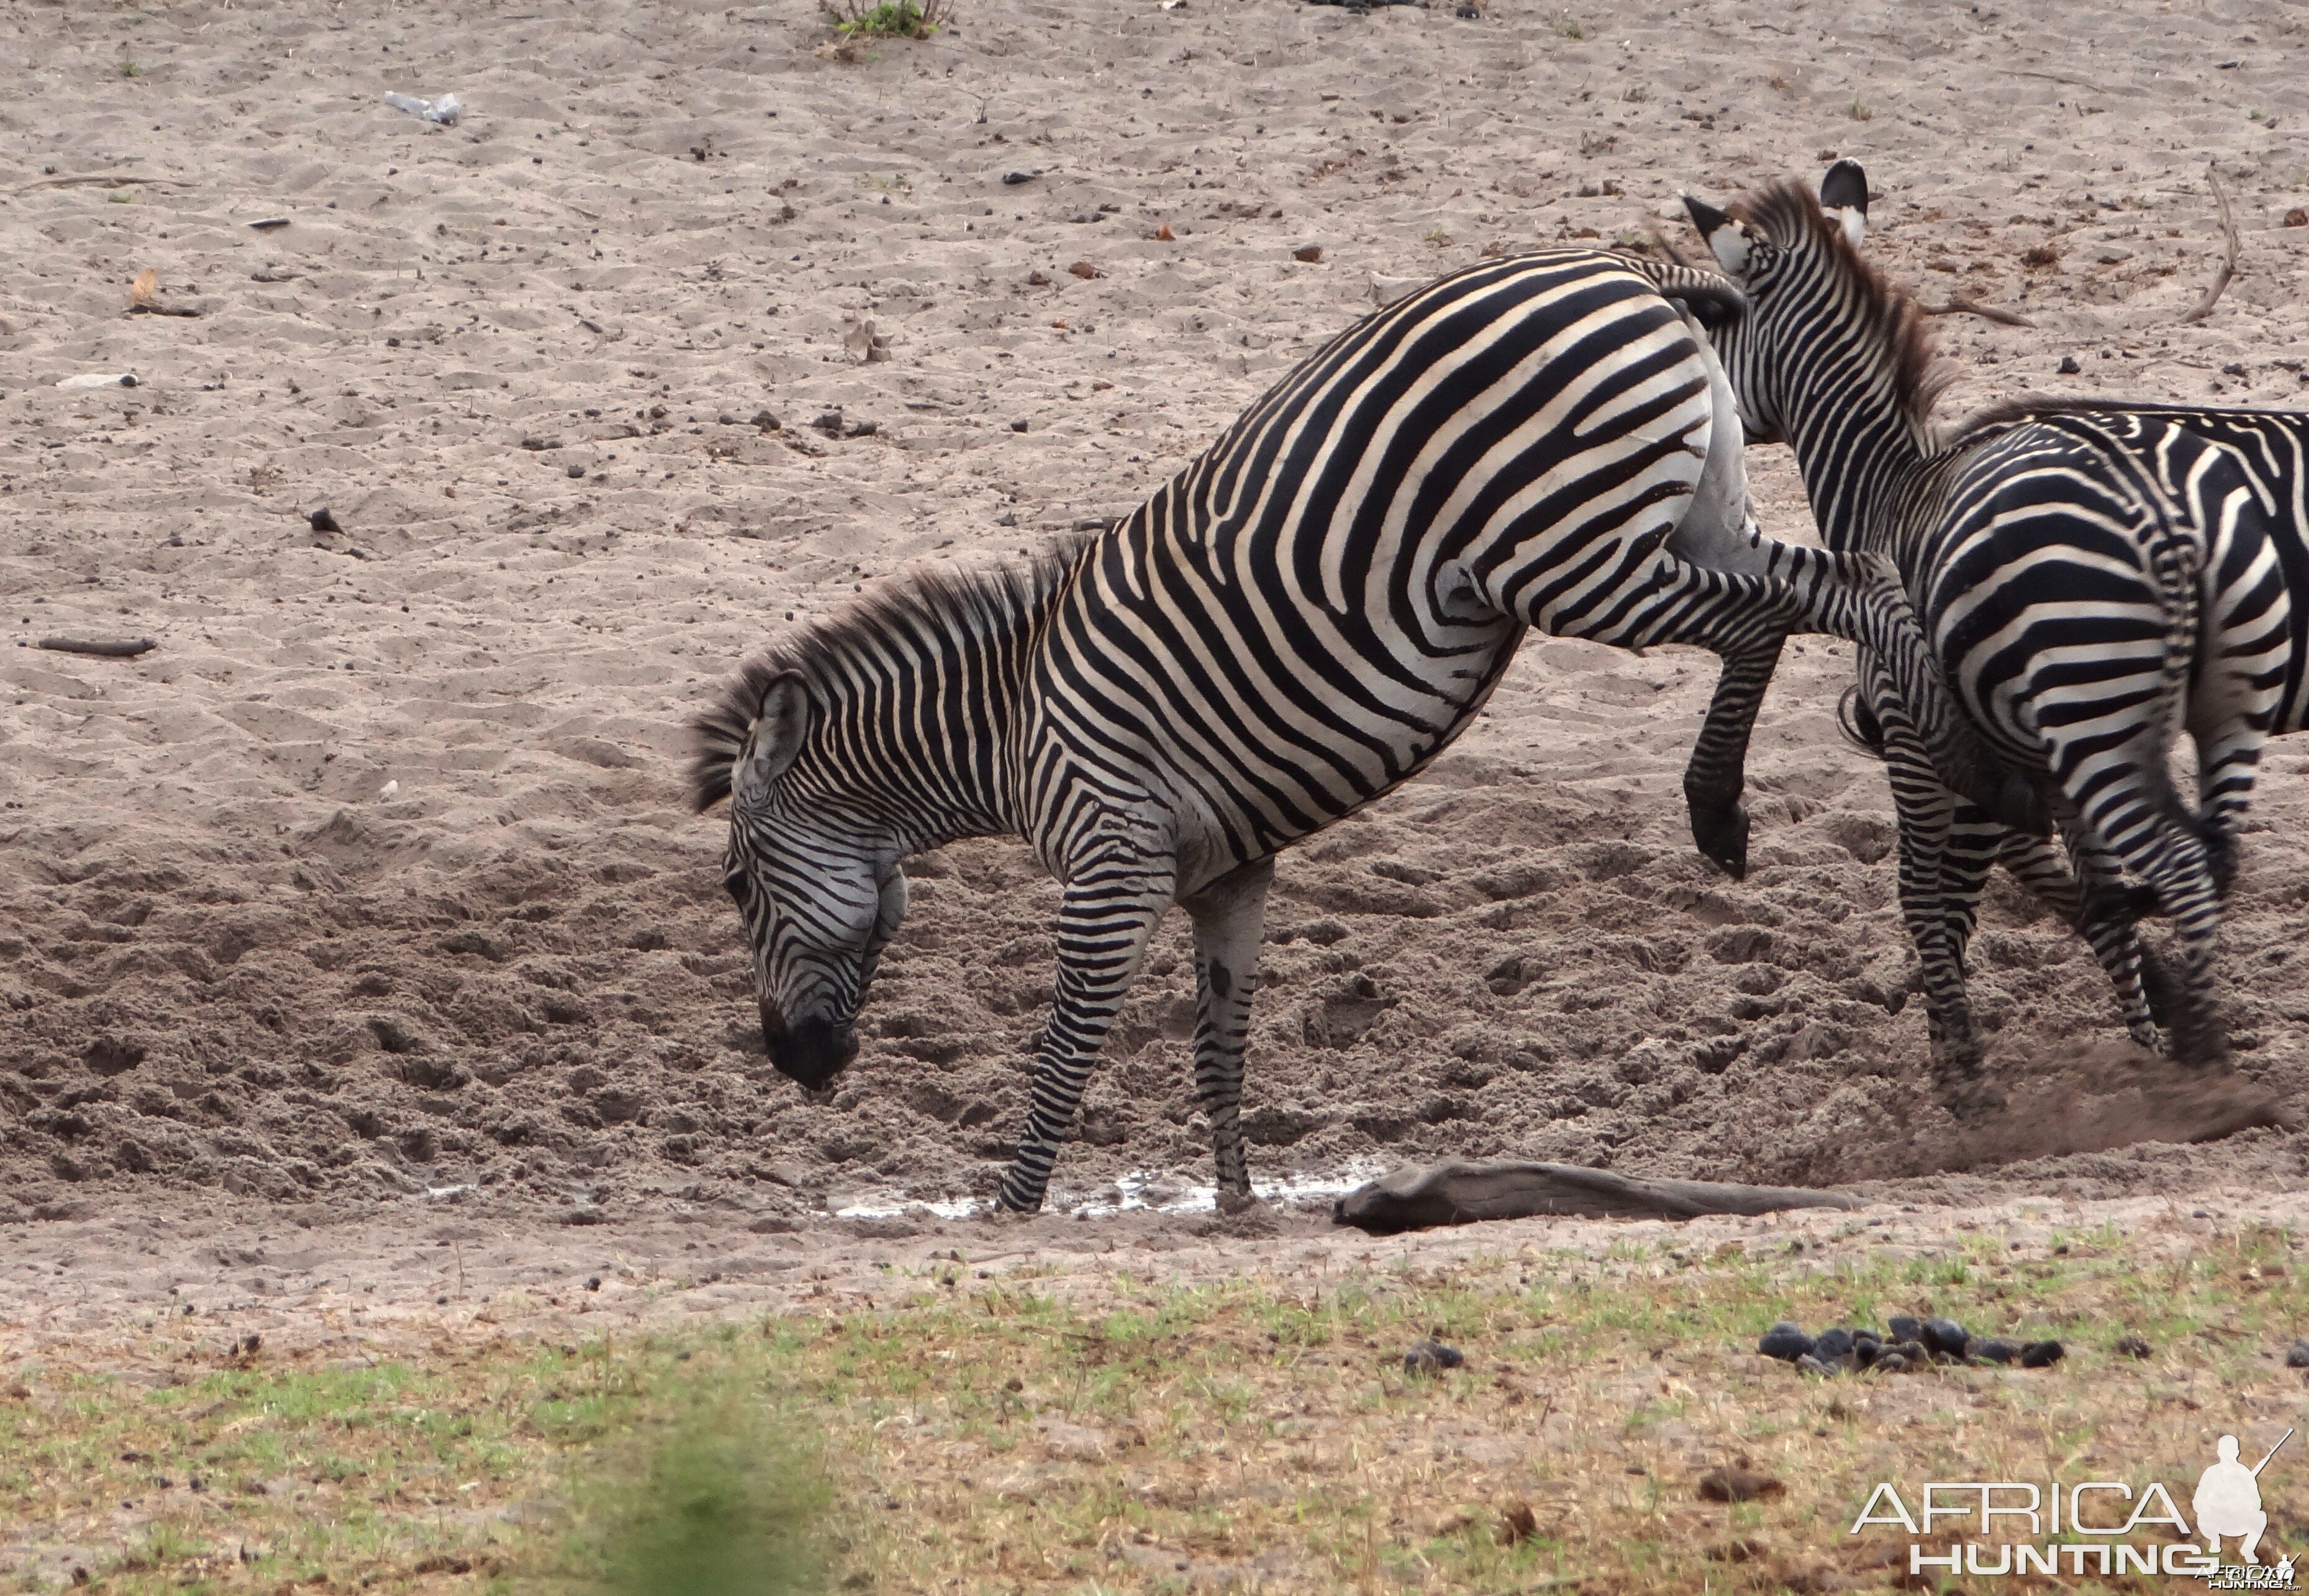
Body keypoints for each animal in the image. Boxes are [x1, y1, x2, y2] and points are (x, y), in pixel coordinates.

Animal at [679, 247, 2004, 1210]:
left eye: (738, 887)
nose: (794, 1064)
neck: (1007, 732)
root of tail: (1625, 275)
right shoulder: (1225, 872)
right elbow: (1219, 1042)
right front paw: (1233, 1206)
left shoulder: (1111, 865)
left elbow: (1066, 1044)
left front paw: (1012, 1211)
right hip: (1688, 521)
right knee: (1815, 598)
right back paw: (1747, 796)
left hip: (1571, 562)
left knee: (1823, 602)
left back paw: (1909, 748)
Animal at [1662, 165, 2290, 1086]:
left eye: (1712, 324)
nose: (1706, 429)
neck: (1887, 486)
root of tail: (2162, 524)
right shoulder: (2024, 754)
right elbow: (2092, 899)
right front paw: (2138, 1039)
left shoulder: (1918, 732)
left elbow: (1930, 899)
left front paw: (1959, 1072)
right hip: (2201, 712)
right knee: (2204, 861)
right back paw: (2199, 1055)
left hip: (2095, 715)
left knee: (2180, 862)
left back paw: (2205, 1068)